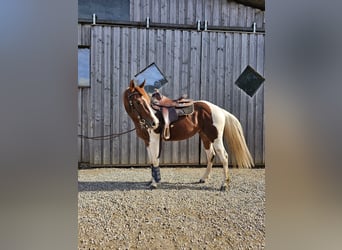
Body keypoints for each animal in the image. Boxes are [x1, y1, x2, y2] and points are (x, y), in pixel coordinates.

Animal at [123, 79, 254, 190]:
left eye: (146, 100)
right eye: (138, 102)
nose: (155, 123)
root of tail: (219, 110)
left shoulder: (154, 140)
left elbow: (155, 161)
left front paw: (155, 184)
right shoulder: (147, 141)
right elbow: (151, 161)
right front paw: (152, 181)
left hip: (215, 138)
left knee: (224, 157)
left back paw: (224, 185)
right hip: (205, 137)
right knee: (211, 155)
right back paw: (203, 179)